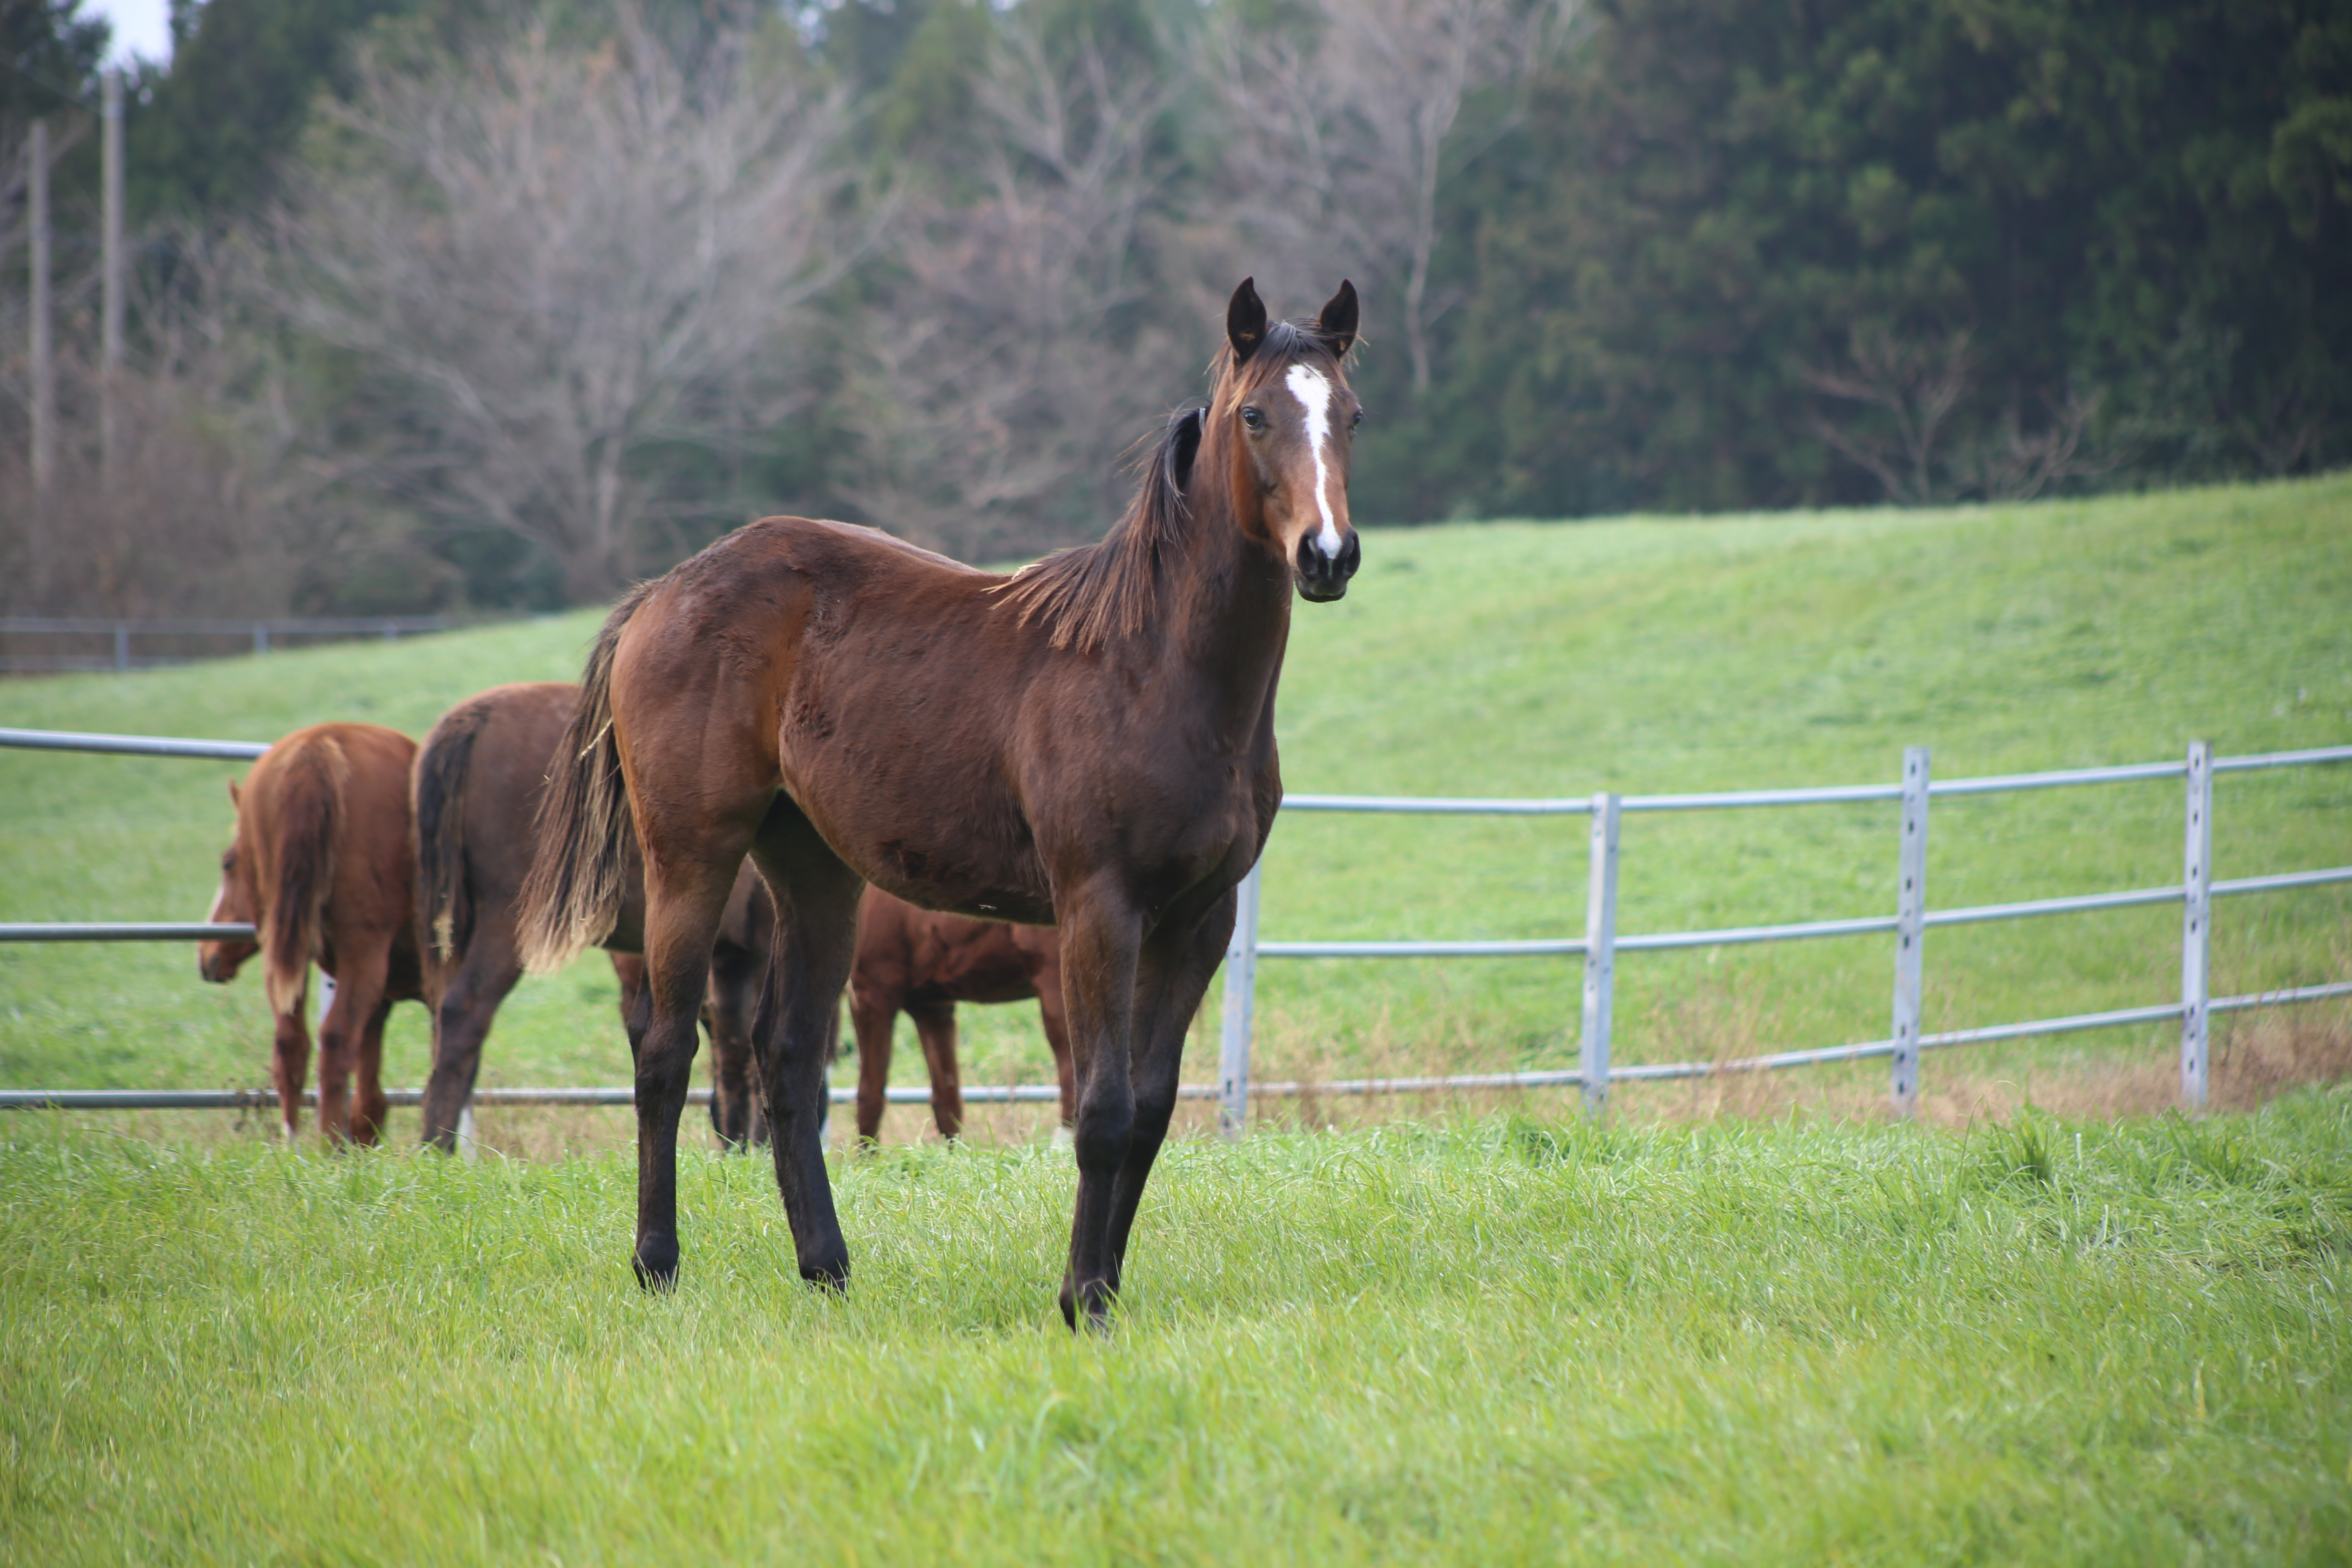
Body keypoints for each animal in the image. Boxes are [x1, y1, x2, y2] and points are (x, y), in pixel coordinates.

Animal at [200, 719, 425, 1142]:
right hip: (360, 956)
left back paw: (299, 1145)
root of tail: (318, 744)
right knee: (334, 1041)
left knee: (293, 1043)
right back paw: (326, 1144)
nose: (207, 956)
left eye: (227, 863)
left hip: (290, 955)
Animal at [414, 682, 781, 1147]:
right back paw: (438, 1147)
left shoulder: (734, 955)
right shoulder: (763, 944)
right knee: (464, 1013)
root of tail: (476, 717)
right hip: (505, 925)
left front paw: (738, 1147)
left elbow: (733, 1051)